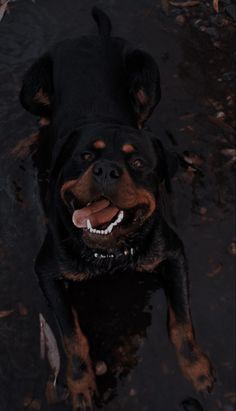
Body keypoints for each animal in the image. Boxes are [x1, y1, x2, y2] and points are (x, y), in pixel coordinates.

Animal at [20, 6, 215, 411]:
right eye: (84, 156)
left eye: (138, 163)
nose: (106, 169)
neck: (109, 252)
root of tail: (95, 37)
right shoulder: (46, 270)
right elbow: (71, 336)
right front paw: (80, 383)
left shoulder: (173, 253)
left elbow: (182, 320)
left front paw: (196, 367)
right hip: (29, 87)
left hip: (148, 70)